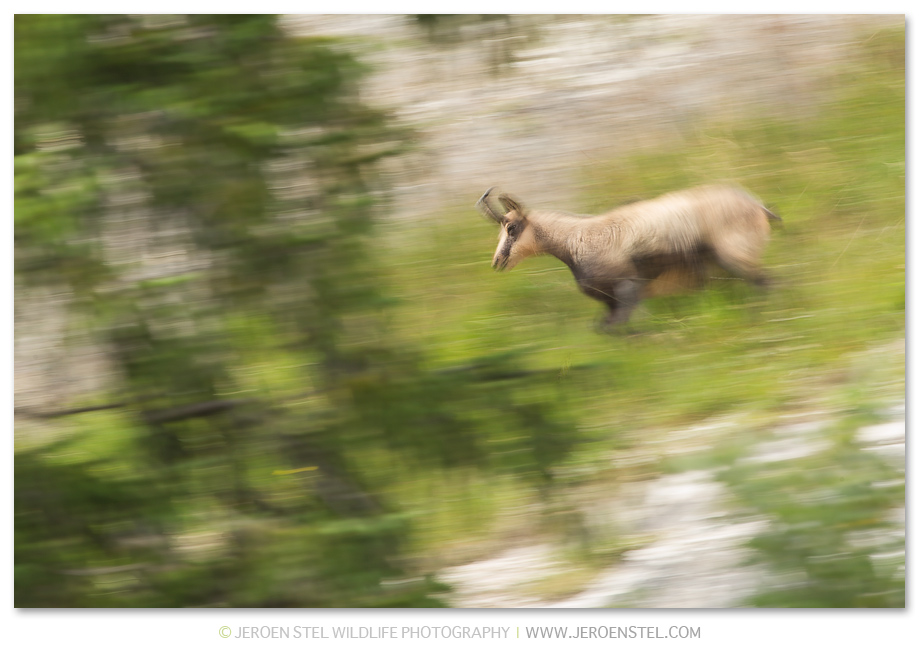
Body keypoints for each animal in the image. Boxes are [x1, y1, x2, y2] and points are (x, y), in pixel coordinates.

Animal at [476, 185, 781, 329]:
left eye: (511, 228)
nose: (497, 262)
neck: (575, 237)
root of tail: (757, 206)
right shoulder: (612, 301)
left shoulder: (628, 289)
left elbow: (617, 328)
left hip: (735, 256)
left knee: (766, 283)